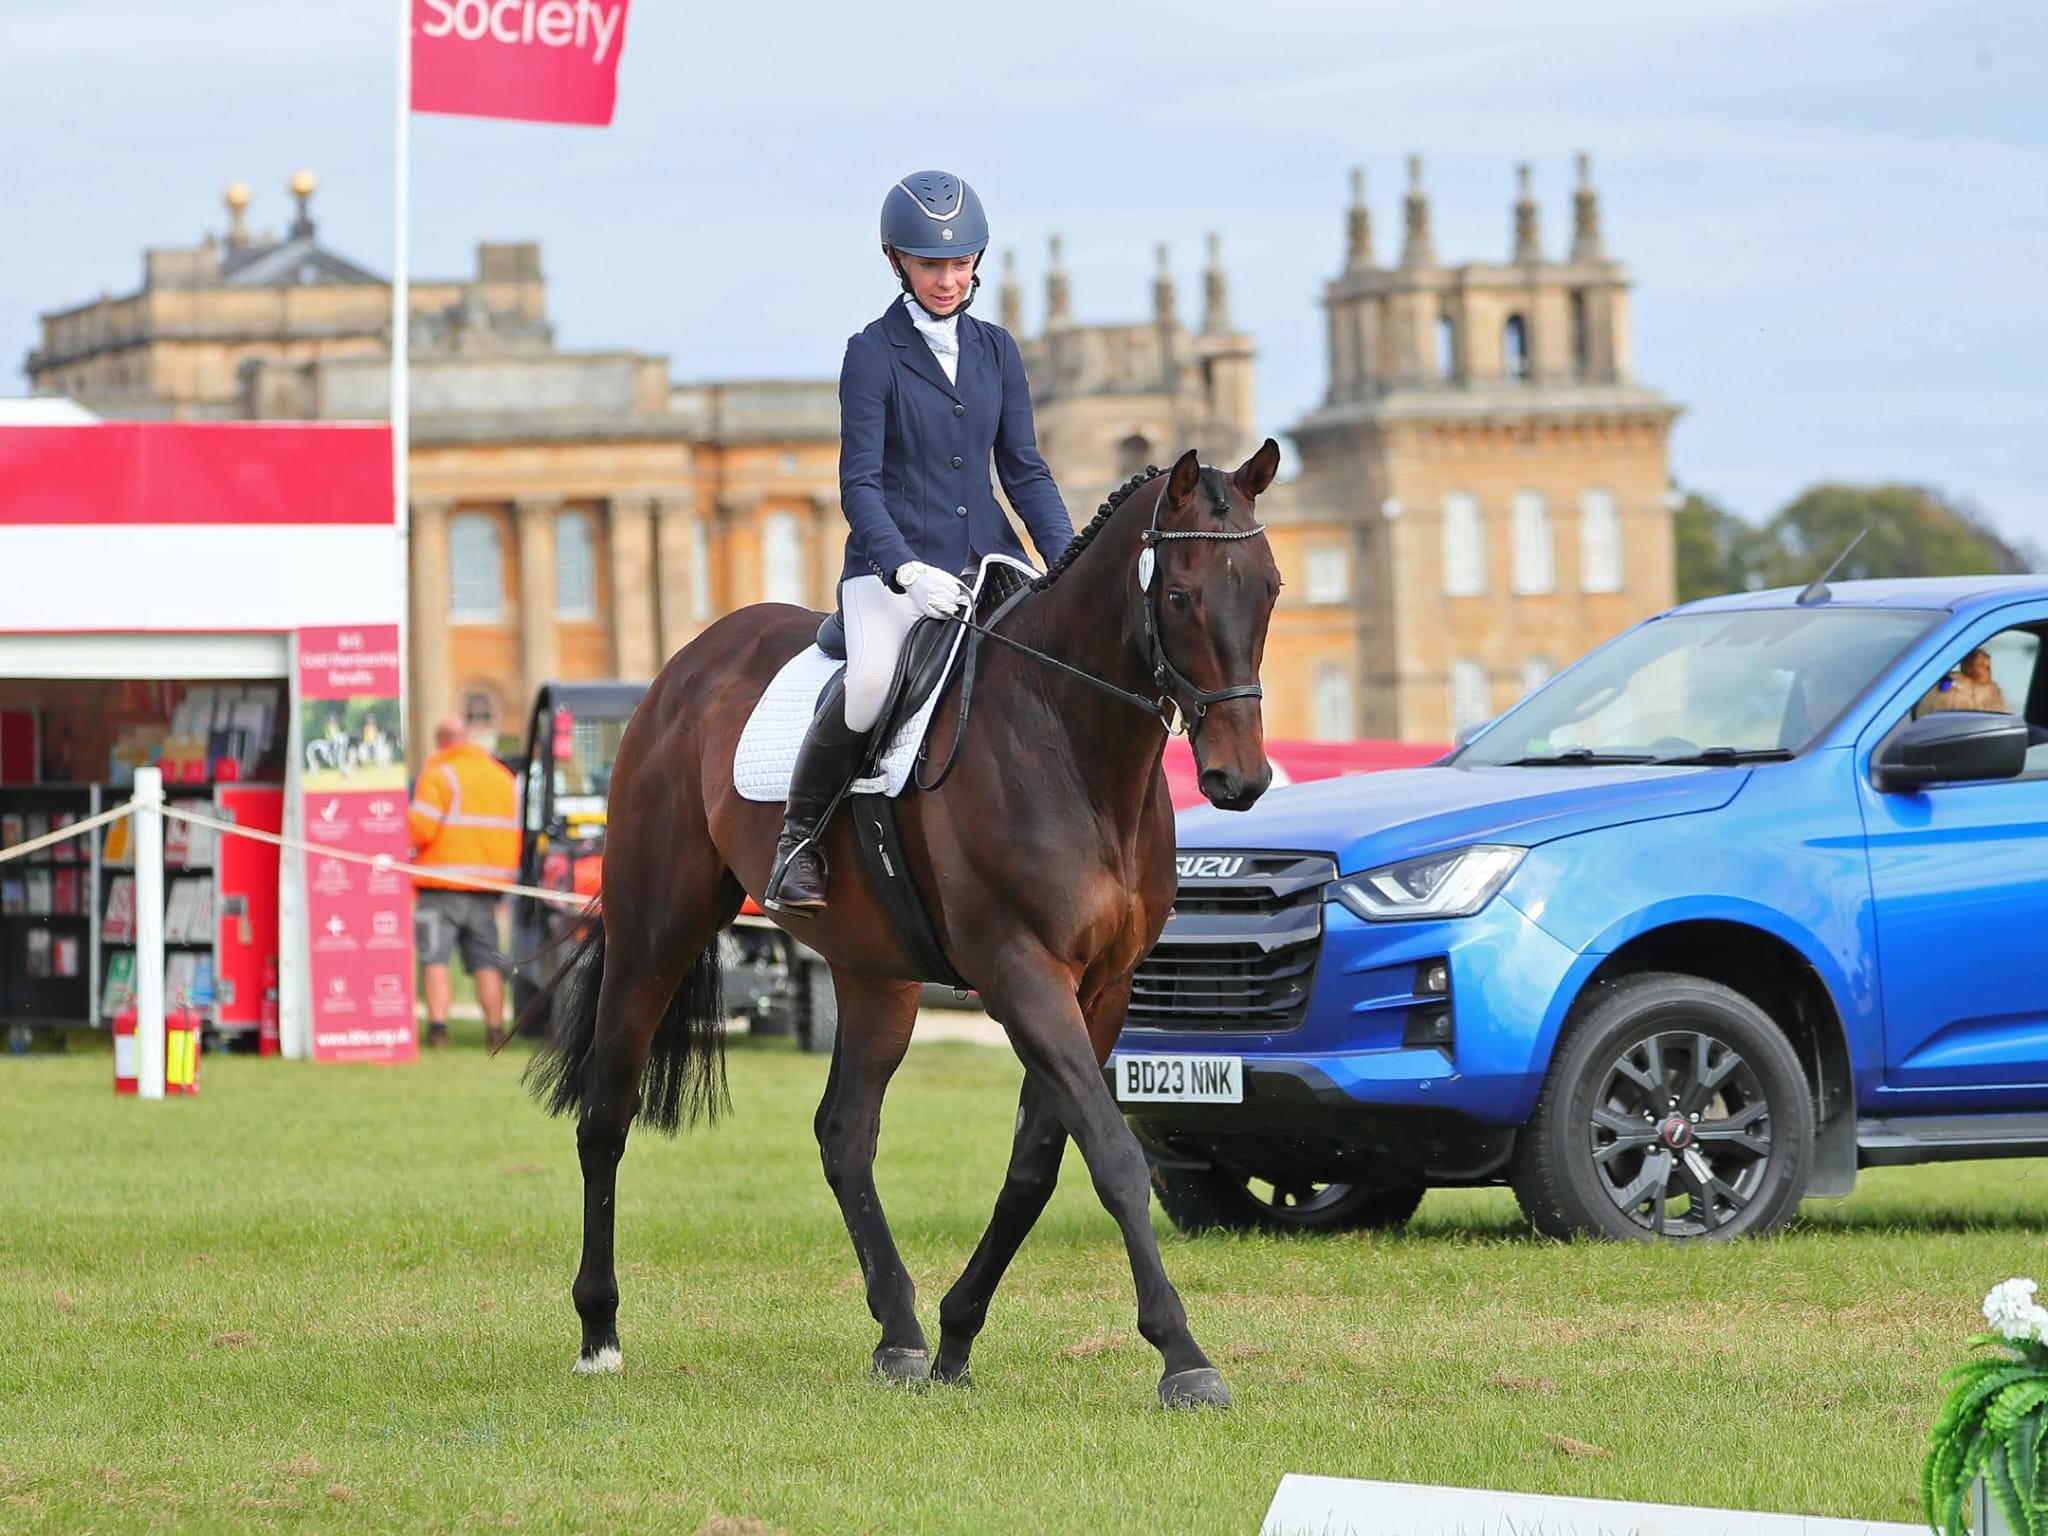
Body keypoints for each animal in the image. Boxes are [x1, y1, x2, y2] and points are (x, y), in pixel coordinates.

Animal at [536, 438, 1286, 1417]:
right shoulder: (1020, 971)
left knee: (844, 1133)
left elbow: (1036, 1165)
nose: (1242, 780)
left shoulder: (1103, 987)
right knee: (606, 1115)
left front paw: (959, 1334)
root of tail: (689, 661)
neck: (1070, 740)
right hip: (653, 932)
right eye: (1184, 595)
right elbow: (1113, 1153)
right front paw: (1183, 1355)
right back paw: (599, 1333)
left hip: (875, 973)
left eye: (1269, 589)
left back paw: (900, 1333)